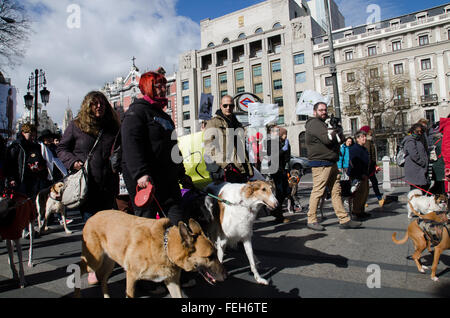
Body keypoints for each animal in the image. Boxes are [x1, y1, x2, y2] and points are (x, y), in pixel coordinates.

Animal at [76, 211, 229, 298]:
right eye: (210, 257)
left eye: (216, 254)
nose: (226, 276)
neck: (165, 247)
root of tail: (92, 217)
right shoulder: (131, 277)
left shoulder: (172, 282)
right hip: (93, 262)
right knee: (79, 269)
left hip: (109, 264)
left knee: (103, 281)